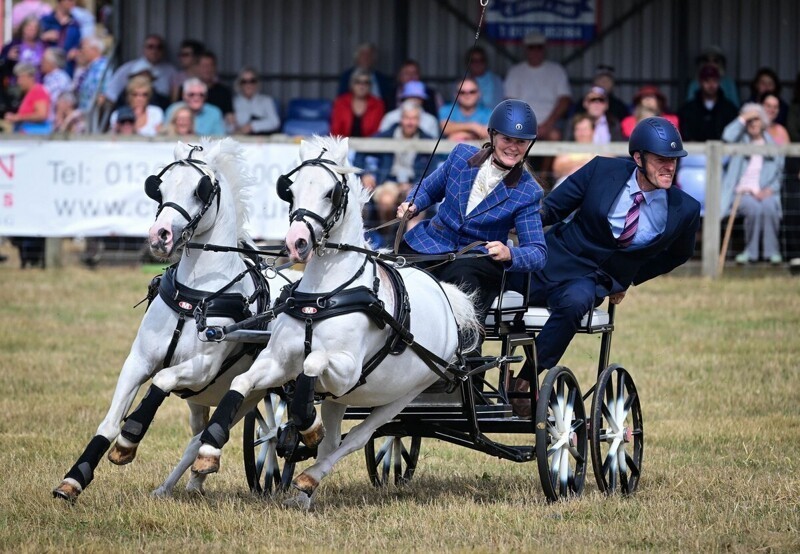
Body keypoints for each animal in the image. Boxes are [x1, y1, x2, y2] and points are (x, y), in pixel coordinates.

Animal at [54, 138, 272, 500]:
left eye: (201, 190)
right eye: (159, 187)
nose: (160, 235)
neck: (195, 297)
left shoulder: (201, 369)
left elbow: (162, 380)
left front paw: (128, 440)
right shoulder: (138, 360)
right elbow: (109, 422)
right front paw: (74, 479)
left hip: (249, 394)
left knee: (206, 437)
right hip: (205, 399)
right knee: (197, 436)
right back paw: (182, 485)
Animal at [191, 135, 478, 504]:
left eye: (331, 192)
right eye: (290, 189)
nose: (296, 241)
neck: (325, 296)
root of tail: (444, 293)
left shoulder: (346, 372)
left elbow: (312, 364)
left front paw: (306, 426)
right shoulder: (277, 360)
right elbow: (242, 383)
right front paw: (208, 453)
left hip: (402, 396)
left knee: (357, 437)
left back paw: (309, 477)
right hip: (345, 399)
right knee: (334, 440)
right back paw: (304, 489)